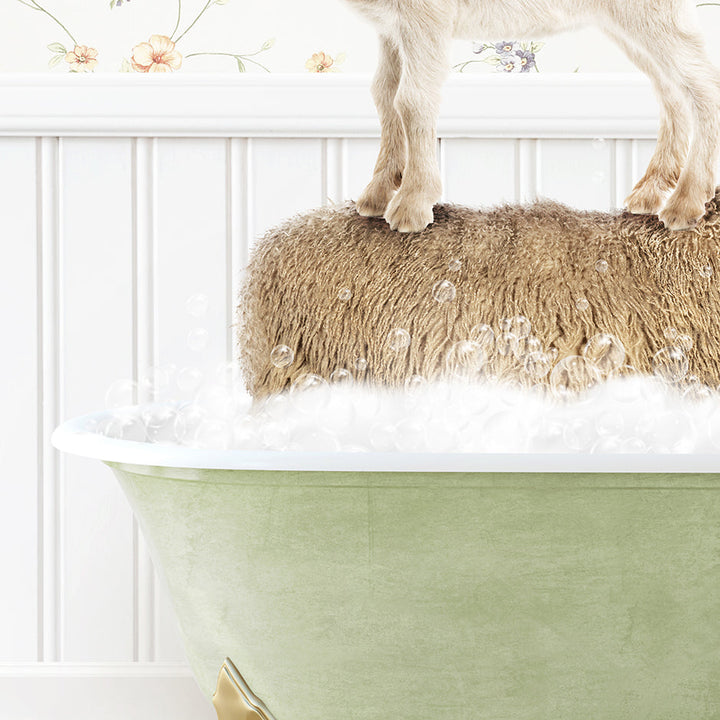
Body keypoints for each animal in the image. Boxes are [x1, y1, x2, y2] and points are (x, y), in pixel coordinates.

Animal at [344, 0, 720, 232]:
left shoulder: (425, 18)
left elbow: (411, 100)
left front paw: (411, 204)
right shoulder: (390, 28)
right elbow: (385, 93)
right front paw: (378, 193)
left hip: (654, 15)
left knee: (704, 86)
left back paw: (686, 202)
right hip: (625, 27)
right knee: (671, 91)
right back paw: (651, 190)